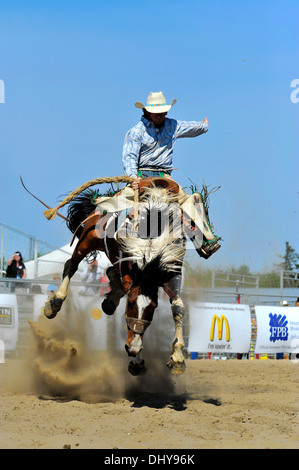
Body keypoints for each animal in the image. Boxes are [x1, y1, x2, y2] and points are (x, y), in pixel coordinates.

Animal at [37, 178, 188, 376]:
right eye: (130, 304)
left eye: (153, 307)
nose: (133, 349)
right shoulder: (129, 263)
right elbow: (127, 289)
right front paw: (136, 358)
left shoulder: (171, 269)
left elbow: (177, 306)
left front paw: (177, 357)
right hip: (87, 240)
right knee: (71, 265)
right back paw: (54, 304)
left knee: (109, 272)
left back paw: (109, 302)